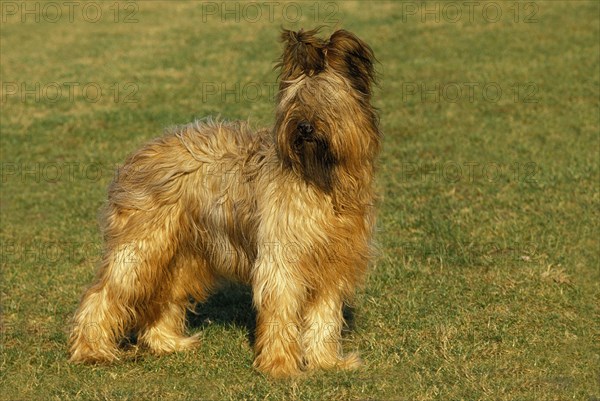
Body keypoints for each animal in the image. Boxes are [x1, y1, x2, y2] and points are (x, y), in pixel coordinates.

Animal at [69, 26, 380, 376]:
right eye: (296, 102)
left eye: (327, 102)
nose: (304, 127)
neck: (320, 181)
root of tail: (137, 155)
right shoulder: (281, 259)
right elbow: (281, 309)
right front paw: (280, 366)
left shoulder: (334, 264)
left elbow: (324, 316)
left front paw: (327, 362)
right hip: (143, 247)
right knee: (102, 294)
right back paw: (92, 350)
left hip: (184, 254)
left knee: (164, 298)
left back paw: (169, 343)